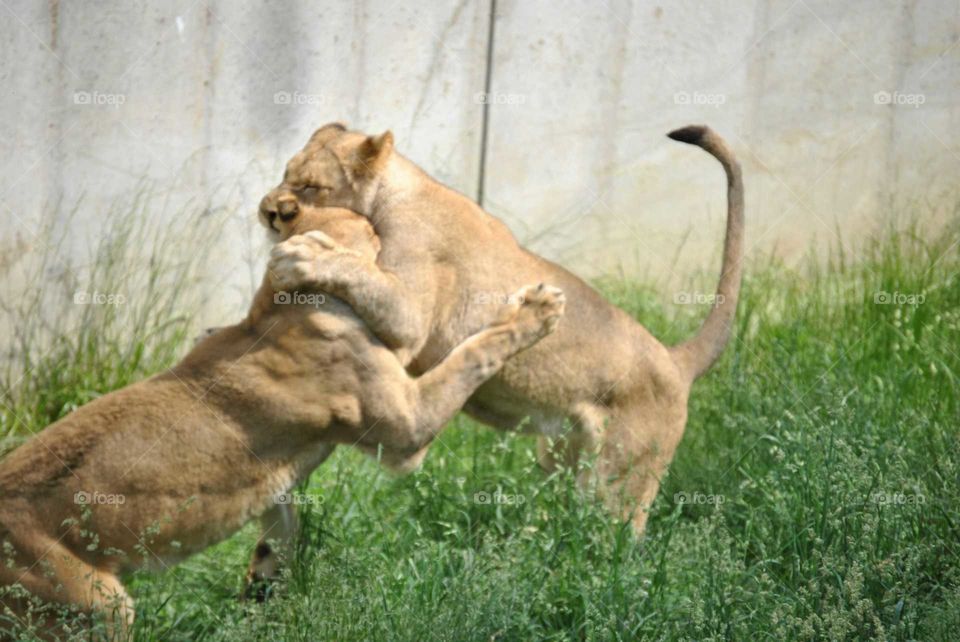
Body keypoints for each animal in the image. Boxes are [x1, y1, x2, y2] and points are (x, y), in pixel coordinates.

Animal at [0, 206, 565, 638]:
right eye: (367, 225)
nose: (380, 223)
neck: (273, 306)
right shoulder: (408, 429)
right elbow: (473, 352)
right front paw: (538, 309)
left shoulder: (280, 486)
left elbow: (280, 542)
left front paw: (260, 605)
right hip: (93, 604)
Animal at [262, 123, 743, 534]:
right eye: (285, 173)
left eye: (311, 186)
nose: (267, 212)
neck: (394, 192)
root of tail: (675, 360)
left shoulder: (410, 317)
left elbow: (359, 274)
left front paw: (304, 256)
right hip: (563, 457)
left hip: (619, 479)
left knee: (614, 540)